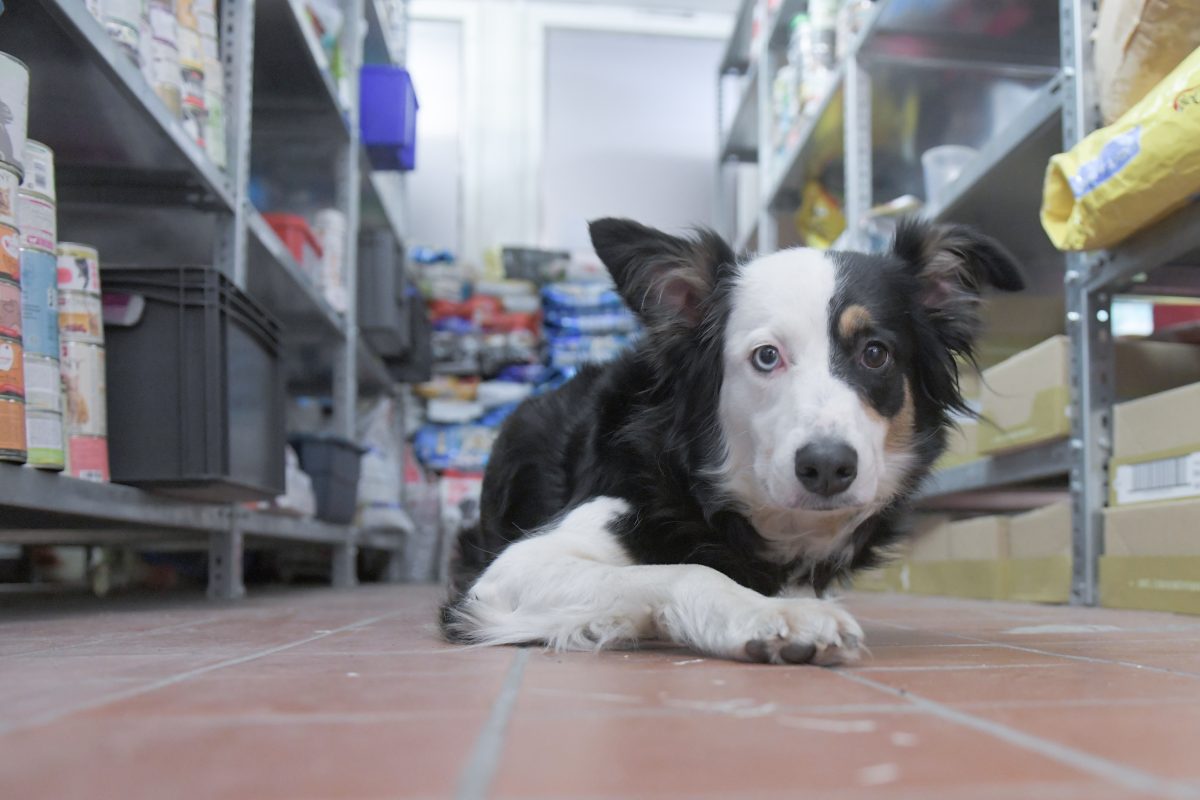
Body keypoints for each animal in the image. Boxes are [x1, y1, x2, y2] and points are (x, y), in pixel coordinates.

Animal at [441, 215, 1022, 666]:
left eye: (875, 353)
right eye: (766, 356)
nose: (828, 467)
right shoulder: (508, 572)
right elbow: (686, 570)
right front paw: (772, 614)